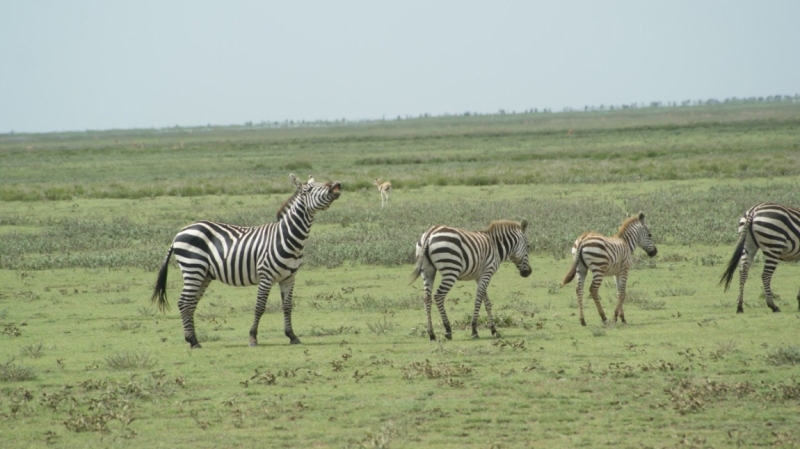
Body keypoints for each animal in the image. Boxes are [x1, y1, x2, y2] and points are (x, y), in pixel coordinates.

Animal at [152, 173, 342, 348]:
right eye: (308, 189)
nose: (336, 184)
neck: (285, 238)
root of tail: (179, 233)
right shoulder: (266, 276)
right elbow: (260, 306)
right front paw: (253, 337)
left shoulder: (289, 278)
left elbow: (287, 306)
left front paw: (292, 336)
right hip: (193, 268)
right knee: (184, 302)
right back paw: (193, 341)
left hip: (204, 274)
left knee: (190, 304)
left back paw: (192, 339)